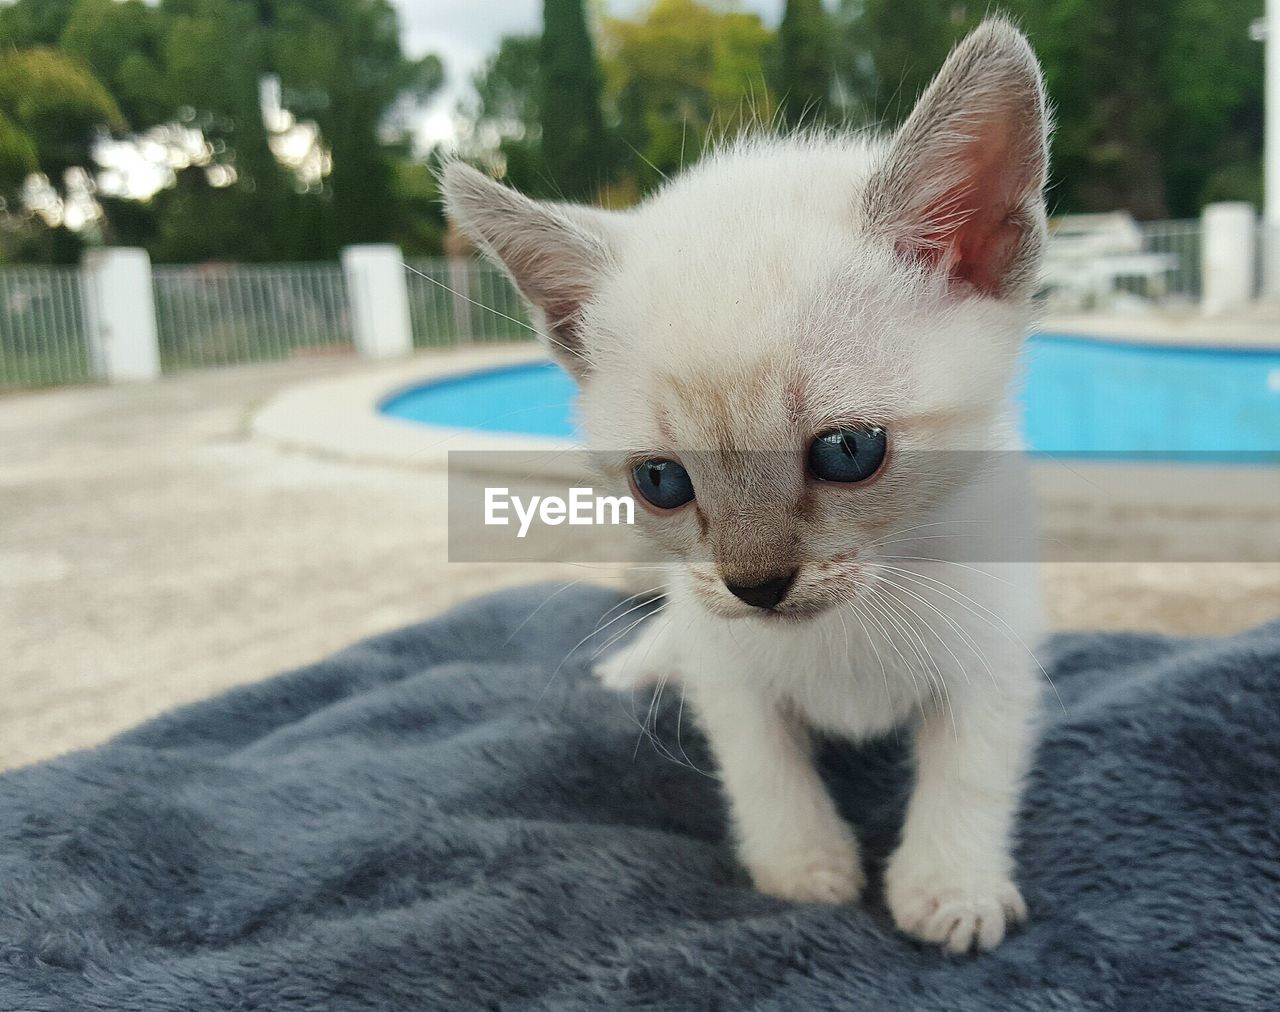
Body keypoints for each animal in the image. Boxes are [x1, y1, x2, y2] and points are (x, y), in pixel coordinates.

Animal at [445, 19, 1054, 951]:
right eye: (662, 480)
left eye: (847, 452)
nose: (757, 584)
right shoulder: (725, 657)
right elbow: (762, 763)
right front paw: (804, 867)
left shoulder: (994, 641)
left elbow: (971, 768)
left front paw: (951, 885)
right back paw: (638, 666)